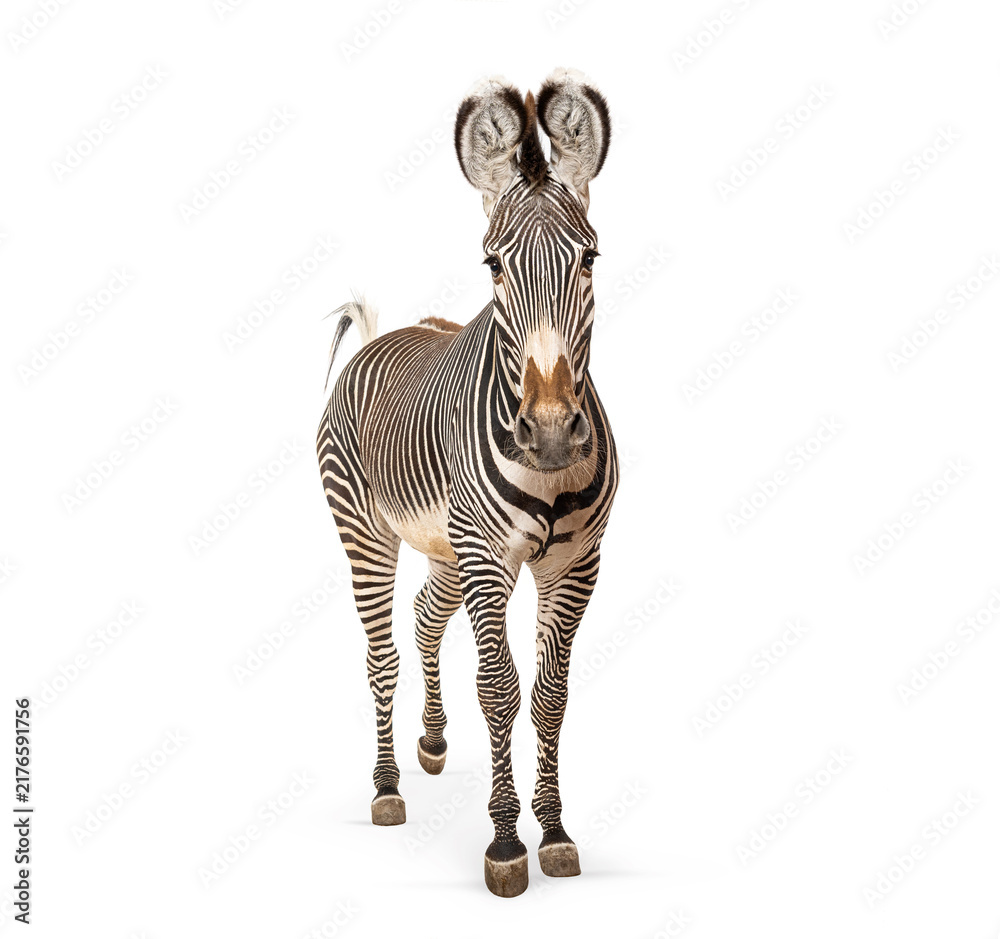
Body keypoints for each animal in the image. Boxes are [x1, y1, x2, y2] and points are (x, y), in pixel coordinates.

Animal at [316, 68, 618, 898]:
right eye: (493, 265)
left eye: (590, 258)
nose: (550, 432)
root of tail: (383, 333)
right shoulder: (489, 557)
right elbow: (499, 688)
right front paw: (507, 841)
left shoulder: (575, 562)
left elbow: (550, 693)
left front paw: (554, 830)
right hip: (368, 532)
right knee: (381, 650)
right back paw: (388, 784)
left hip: (445, 548)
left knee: (423, 617)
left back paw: (429, 743)